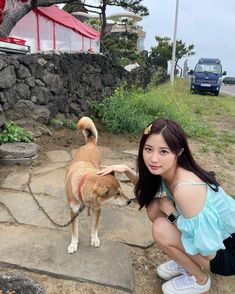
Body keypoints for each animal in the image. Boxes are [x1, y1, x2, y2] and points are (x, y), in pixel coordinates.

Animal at [65, 116, 130, 253]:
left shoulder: (97, 209)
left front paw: (94, 239)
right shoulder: (74, 212)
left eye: (121, 191)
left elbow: (94, 227)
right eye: (116, 194)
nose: (129, 201)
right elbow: (74, 231)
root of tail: (90, 143)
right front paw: (73, 244)